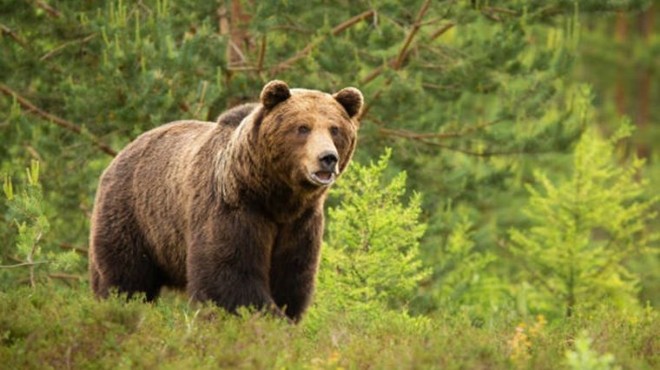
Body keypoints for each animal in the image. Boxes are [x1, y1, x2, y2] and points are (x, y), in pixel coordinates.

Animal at [89, 80, 360, 320]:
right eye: (303, 127)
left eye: (335, 129)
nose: (328, 158)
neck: (274, 196)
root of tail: (124, 151)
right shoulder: (234, 208)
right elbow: (229, 275)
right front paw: (266, 317)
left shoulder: (300, 223)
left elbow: (291, 279)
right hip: (134, 215)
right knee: (126, 278)